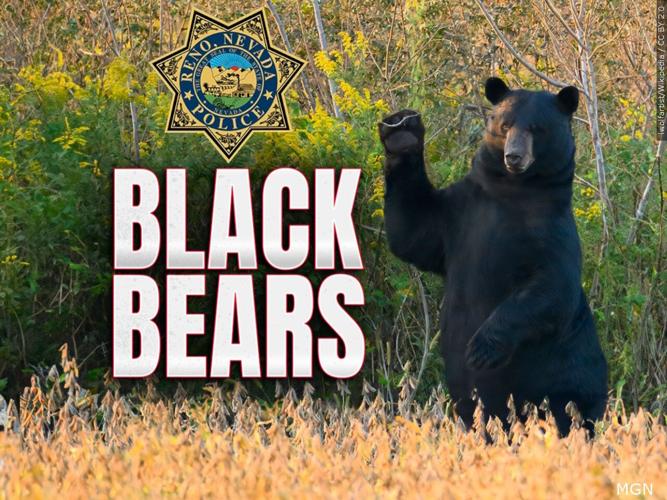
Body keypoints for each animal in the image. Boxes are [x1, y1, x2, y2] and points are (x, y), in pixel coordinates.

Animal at [377, 77, 608, 436]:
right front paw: (402, 134)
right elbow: (413, 232)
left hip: (572, 376)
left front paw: (481, 348)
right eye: (505, 124)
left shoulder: (553, 233)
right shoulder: (459, 213)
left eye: (537, 128)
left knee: (569, 413)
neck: (513, 190)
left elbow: (552, 288)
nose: (514, 156)